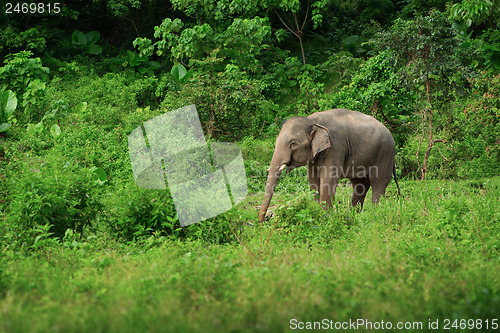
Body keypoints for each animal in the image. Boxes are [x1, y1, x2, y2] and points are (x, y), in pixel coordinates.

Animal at [260, 107, 400, 222]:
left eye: (293, 143)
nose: (264, 220)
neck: (311, 121)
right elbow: (313, 181)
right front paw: (317, 214)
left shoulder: (336, 146)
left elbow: (328, 179)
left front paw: (325, 217)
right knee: (360, 184)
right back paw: (353, 215)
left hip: (385, 153)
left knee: (378, 183)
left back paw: (375, 214)